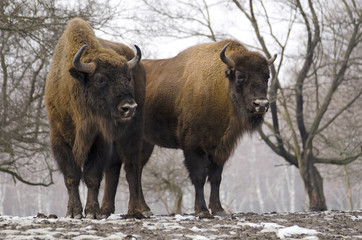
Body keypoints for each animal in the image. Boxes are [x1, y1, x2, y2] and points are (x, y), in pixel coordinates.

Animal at [45, 17, 148, 218]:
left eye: (128, 77)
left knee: (132, 169)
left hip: (132, 134)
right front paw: (74, 212)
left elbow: (92, 176)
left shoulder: (99, 139)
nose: (129, 107)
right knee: (114, 169)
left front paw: (92, 212)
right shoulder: (59, 139)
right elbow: (72, 177)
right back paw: (106, 209)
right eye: (100, 79)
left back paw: (135, 210)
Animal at [140, 39, 276, 218]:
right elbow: (199, 177)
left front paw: (219, 209)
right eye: (240, 76)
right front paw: (203, 210)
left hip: (146, 143)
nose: (261, 104)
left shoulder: (220, 149)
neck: (220, 87)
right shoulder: (194, 147)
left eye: (267, 76)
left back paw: (143, 208)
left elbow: (216, 178)